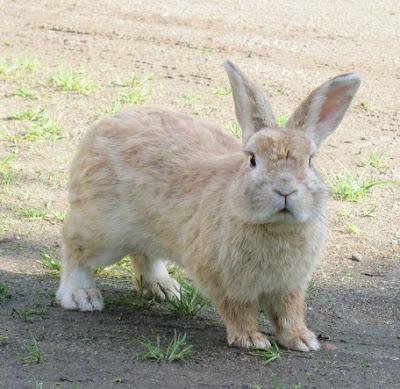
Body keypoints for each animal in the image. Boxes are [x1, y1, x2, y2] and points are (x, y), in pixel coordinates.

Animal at [55, 60, 360, 352]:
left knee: (143, 253)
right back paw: (82, 296)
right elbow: (239, 310)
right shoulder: (226, 281)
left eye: (310, 161)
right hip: (104, 230)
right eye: (252, 159)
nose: (285, 189)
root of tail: (100, 128)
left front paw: (302, 340)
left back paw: (164, 289)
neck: (275, 228)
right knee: (73, 244)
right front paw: (250, 339)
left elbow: (289, 313)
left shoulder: (289, 286)